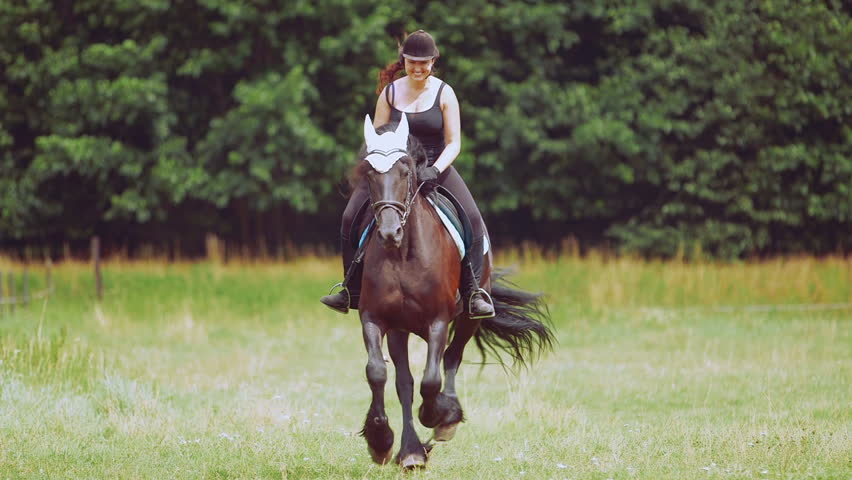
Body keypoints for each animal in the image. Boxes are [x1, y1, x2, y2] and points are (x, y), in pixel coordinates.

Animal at [352, 115, 552, 468]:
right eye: (370, 173)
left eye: (405, 170)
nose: (390, 232)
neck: (403, 255)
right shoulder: (374, 319)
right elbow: (377, 373)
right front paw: (379, 441)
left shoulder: (438, 321)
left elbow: (433, 378)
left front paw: (438, 416)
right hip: (400, 330)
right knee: (405, 382)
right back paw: (411, 451)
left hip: (469, 319)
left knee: (451, 358)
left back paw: (444, 422)